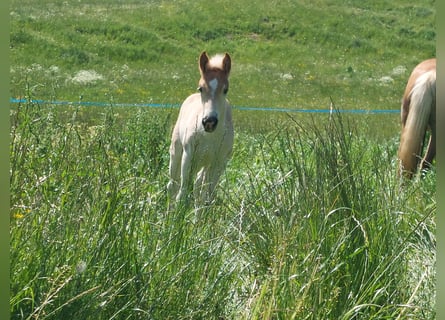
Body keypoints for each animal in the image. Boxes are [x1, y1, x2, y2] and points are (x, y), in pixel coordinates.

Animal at [168, 51, 234, 204]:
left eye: (225, 90)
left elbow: (206, 195)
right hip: (177, 152)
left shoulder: (219, 162)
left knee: (198, 184)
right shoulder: (188, 154)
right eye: (201, 88)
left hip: (204, 163)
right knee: (172, 185)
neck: (210, 136)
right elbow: (182, 191)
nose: (209, 121)